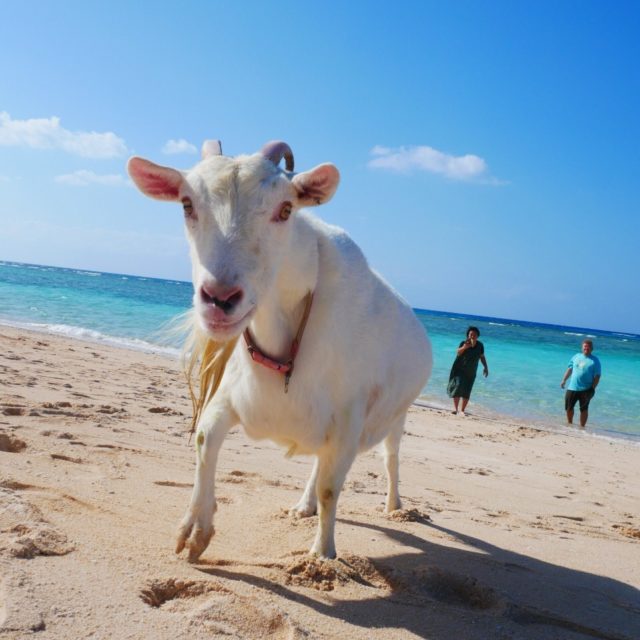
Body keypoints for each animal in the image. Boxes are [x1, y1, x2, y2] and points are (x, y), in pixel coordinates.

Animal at [127, 140, 432, 560]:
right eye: (187, 204)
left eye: (285, 210)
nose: (220, 299)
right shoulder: (235, 394)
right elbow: (205, 438)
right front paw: (194, 532)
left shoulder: (349, 416)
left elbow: (331, 488)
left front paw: (323, 555)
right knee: (319, 465)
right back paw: (303, 506)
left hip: (396, 416)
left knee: (390, 458)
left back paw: (395, 506)